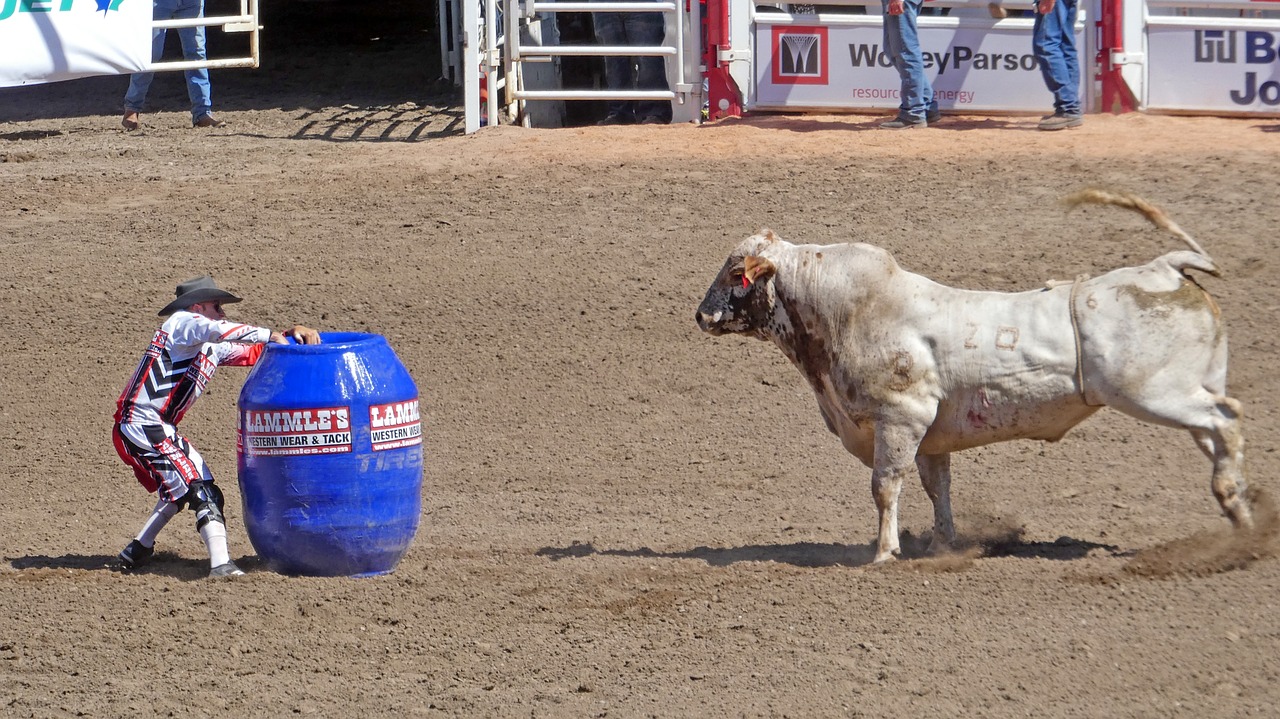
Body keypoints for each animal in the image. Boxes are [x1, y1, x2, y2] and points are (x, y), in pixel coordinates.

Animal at [696, 191, 1244, 565]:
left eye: (735, 274)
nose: (701, 315)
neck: (843, 310)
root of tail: (1164, 268)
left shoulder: (901, 418)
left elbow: (885, 486)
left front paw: (884, 553)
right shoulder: (930, 433)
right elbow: (937, 489)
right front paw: (941, 545)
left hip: (1153, 394)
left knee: (1227, 424)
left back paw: (1234, 503)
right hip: (1186, 390)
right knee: (1218, 429)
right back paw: (1238, 511)